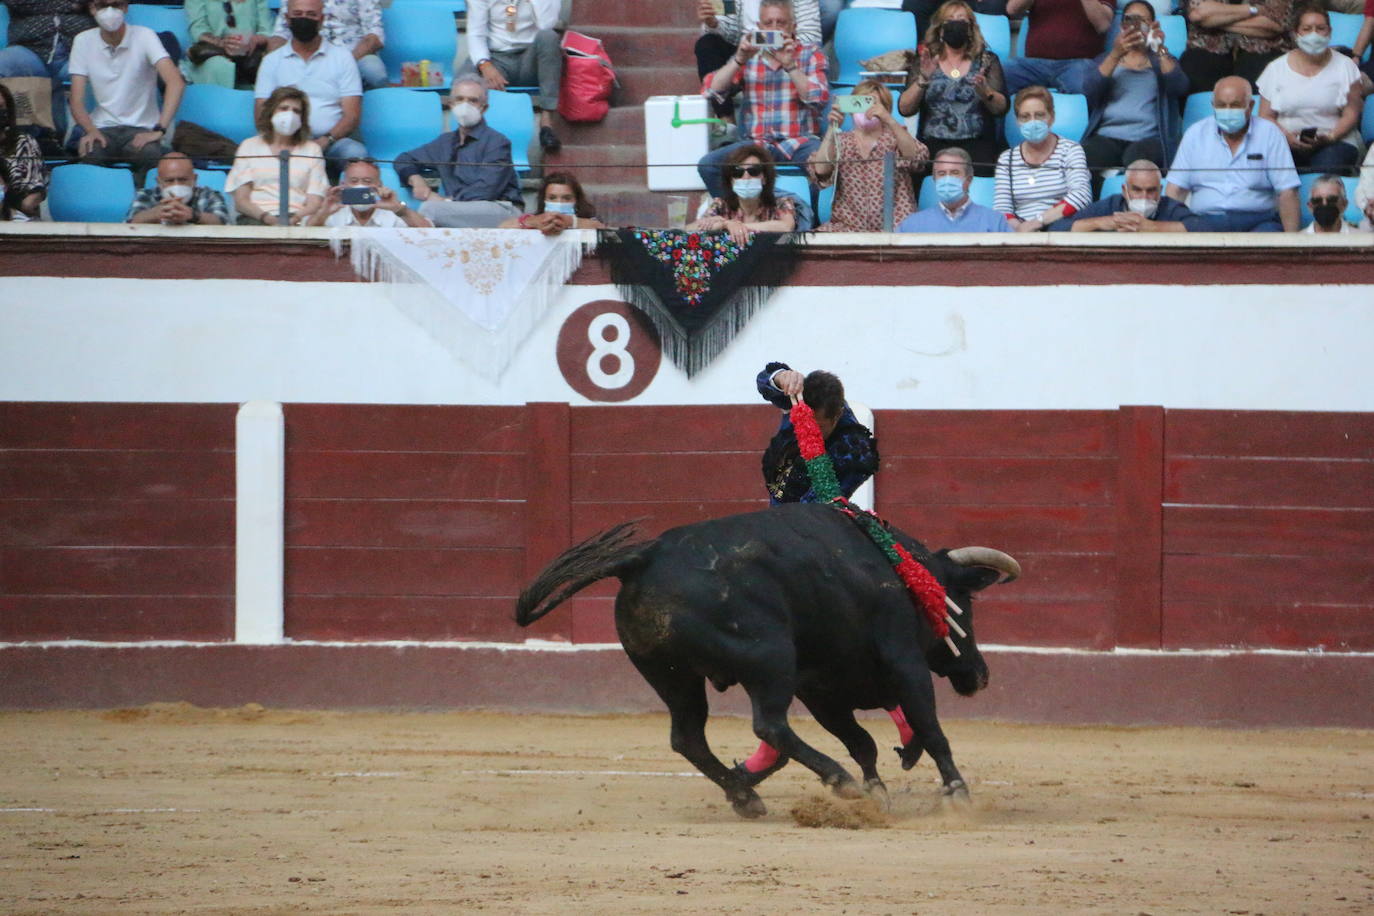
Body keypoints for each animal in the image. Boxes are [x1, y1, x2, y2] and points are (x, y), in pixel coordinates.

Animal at [516, 505, 1022, 818]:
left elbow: (863, 743)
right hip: (770, 659)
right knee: (769, 725)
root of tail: (645, 556)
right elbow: (930, 730)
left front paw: (876, 793)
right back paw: (835, 780)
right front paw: (956, 794)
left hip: (671, 675)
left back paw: (745, 795)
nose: (979, 675)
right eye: (963, 604)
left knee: (688, 736)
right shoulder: (904, 663)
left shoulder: (821, 689)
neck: (899, 570)